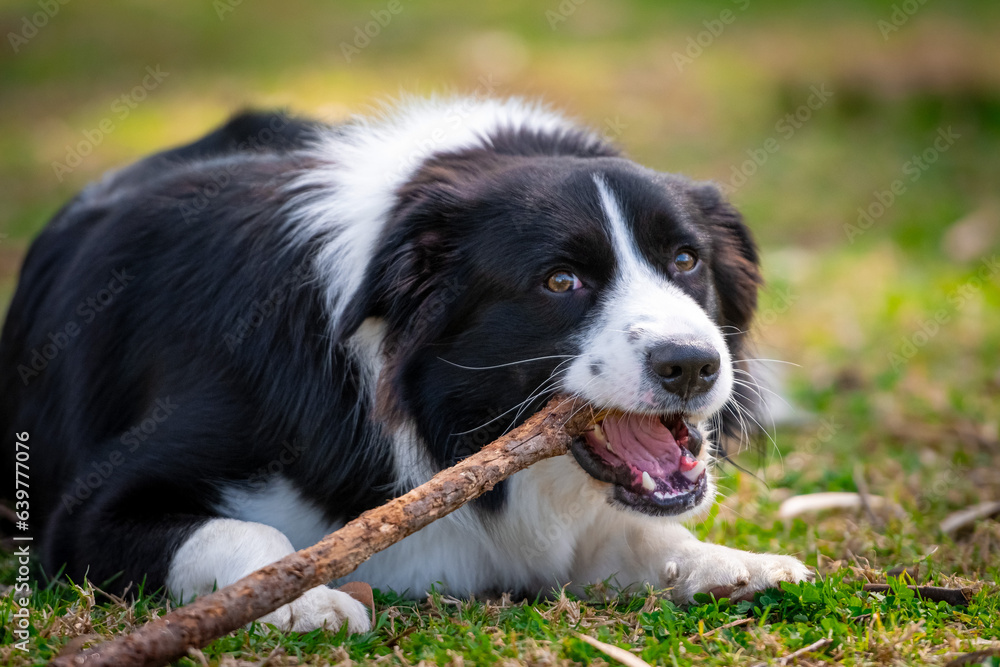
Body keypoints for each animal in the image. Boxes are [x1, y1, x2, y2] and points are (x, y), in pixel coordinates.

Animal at [0, 96, 812, 636]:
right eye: (560, 281)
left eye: (686, 260)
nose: (692, 365)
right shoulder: (86, 516)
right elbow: (244, 532)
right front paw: (298, 597)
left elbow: (640, 535)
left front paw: (722, 560)